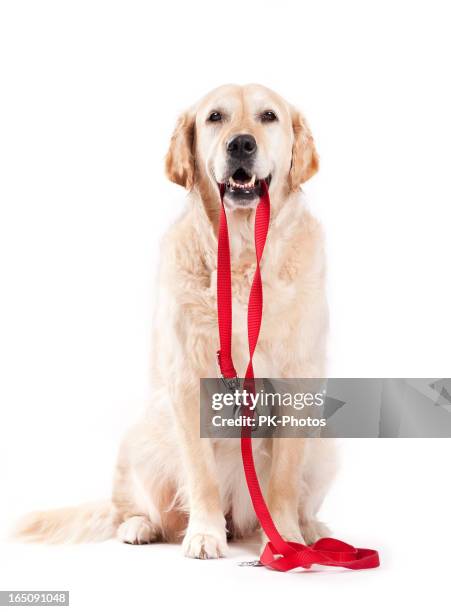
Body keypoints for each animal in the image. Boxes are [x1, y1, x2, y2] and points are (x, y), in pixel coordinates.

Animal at [15, 85, 336, 560]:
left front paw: (287, 539)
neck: (241, 255)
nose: (241, 144)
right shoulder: (187, 382)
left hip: (326, 445)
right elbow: (200, 475)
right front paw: (204, 534)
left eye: (269, 116)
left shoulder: (297, 384)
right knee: (137, 510)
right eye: (215, 117)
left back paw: (310, 529)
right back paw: (141, 526)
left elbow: (282, 482)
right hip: (142, 438)